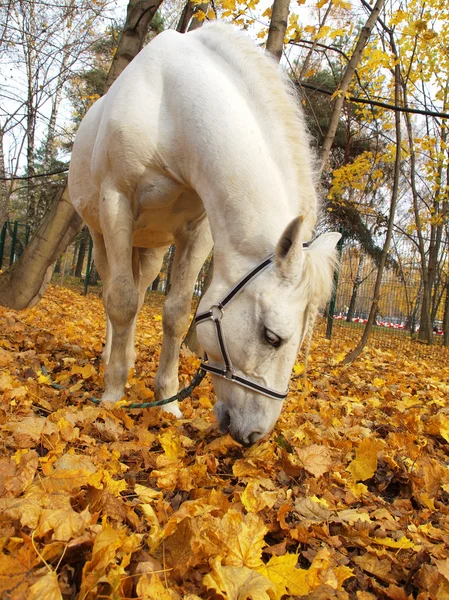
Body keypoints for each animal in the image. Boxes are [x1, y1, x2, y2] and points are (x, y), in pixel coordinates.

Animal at [67, 22, 340, 446]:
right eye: (272, 337)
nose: (255, 435)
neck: (171, 110)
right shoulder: (116, 203)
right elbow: (121, 303)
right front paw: (112, 395)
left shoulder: (197, 231)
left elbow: (177, 314)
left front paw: (168, 403)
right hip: (101, 238)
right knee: (115, 295)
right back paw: (111, 360)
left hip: (151, 248)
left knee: (141, 291)